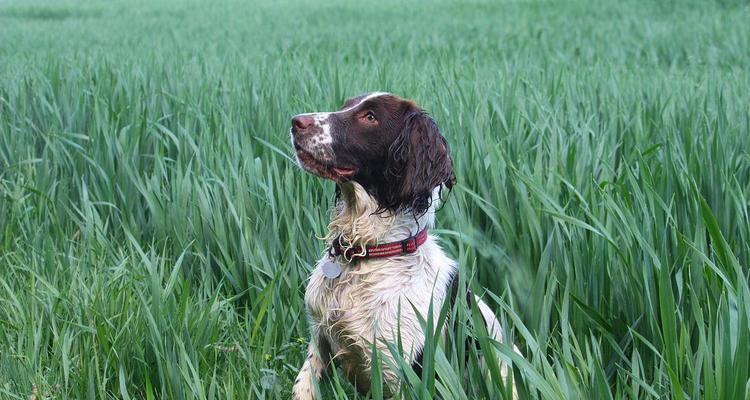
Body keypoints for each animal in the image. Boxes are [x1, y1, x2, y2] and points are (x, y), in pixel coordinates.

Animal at [288, 92, 516, 398]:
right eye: (345, 105)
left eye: (370, 117)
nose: (296, 122)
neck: (367, 253)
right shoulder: (319, 339)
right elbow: (303, 385)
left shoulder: (405, 372)